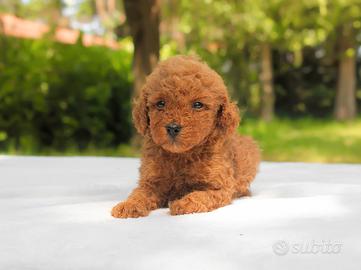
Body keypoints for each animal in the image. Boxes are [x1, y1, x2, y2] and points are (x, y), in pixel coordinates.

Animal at [111, 54, 260, 217]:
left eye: (198, 105)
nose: (173, 128)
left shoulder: (220, 187)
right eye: (161, 103)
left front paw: (183, 203)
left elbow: (200, 195)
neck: (181, 155)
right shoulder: (151, 182)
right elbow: (140, 193)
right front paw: (128, 205)